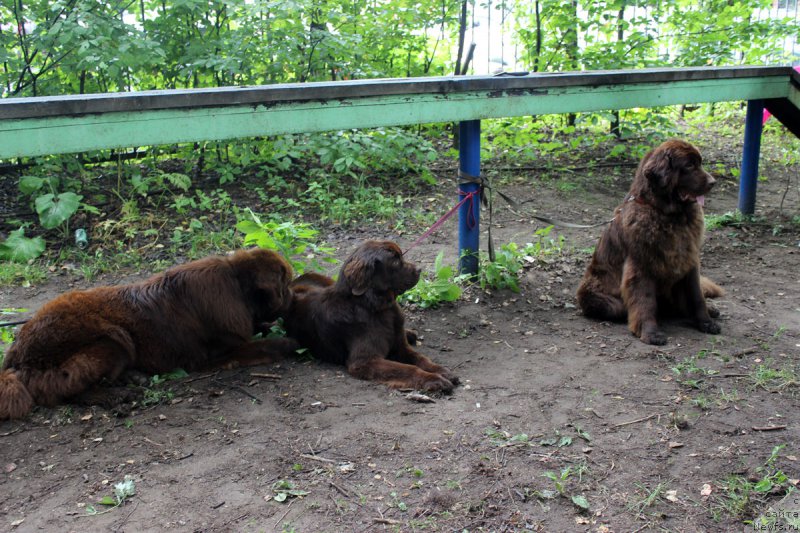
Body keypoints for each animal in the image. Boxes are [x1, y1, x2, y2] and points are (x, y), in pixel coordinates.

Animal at [0, 247, 298, 418]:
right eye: (285, 285)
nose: (295, 298)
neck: (237, 286)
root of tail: (16, 352)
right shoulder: (213, 353)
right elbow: (260, 345)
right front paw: (287, 342)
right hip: (113, 339)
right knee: (66, 391)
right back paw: (116, 396)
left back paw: (132, 379)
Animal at [284, 239, 460, 392]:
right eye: (395, 261)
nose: (419, 270)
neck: (376, 307)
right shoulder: (364, 361)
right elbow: (408, 368)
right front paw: (434, 380)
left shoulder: (400, 346)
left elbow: (421, 359)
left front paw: (442, 371)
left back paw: (410, 333)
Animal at [580, 138, 720, 344]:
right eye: (689, 165)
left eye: (700, 163)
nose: (713, 182)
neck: (668, 215)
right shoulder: (641, 265)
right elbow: (645, 301)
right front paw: (650, 333)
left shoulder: (689, 260)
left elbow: (696, 296)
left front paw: (706, 322)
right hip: (598, 298)